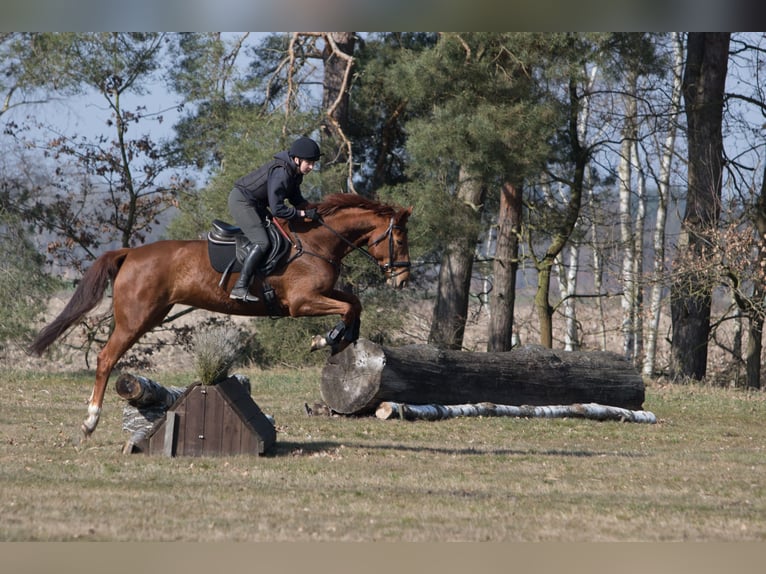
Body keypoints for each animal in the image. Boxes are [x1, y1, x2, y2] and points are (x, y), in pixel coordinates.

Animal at [28, 196, 414, 438]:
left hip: (153, 315)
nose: (403, 279)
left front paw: (340, 338)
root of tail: (130, 253)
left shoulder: (319, 294)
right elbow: (348, 306)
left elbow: (354, 303)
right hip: (135, 319)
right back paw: (90, 421)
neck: (317, 242)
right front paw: (328, 338)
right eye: (398, 237)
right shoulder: (300, 302)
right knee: (106, 358)